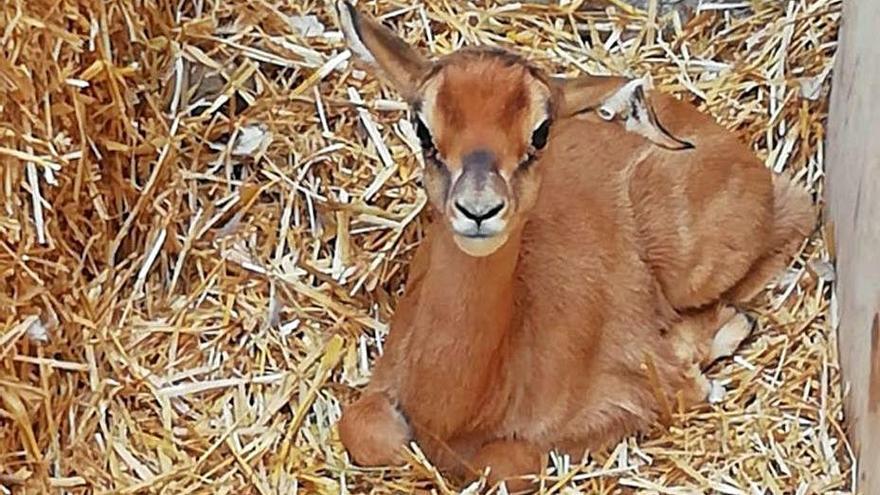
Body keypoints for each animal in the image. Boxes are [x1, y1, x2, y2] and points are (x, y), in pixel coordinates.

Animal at [334, 1, 816, 492]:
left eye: (541, 131)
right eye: (422, 128)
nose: (479, 209)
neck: (458, 411)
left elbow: (504, 461)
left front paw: (695, 374)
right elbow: (363, 429)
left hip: (694, 266)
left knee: (799, 209)